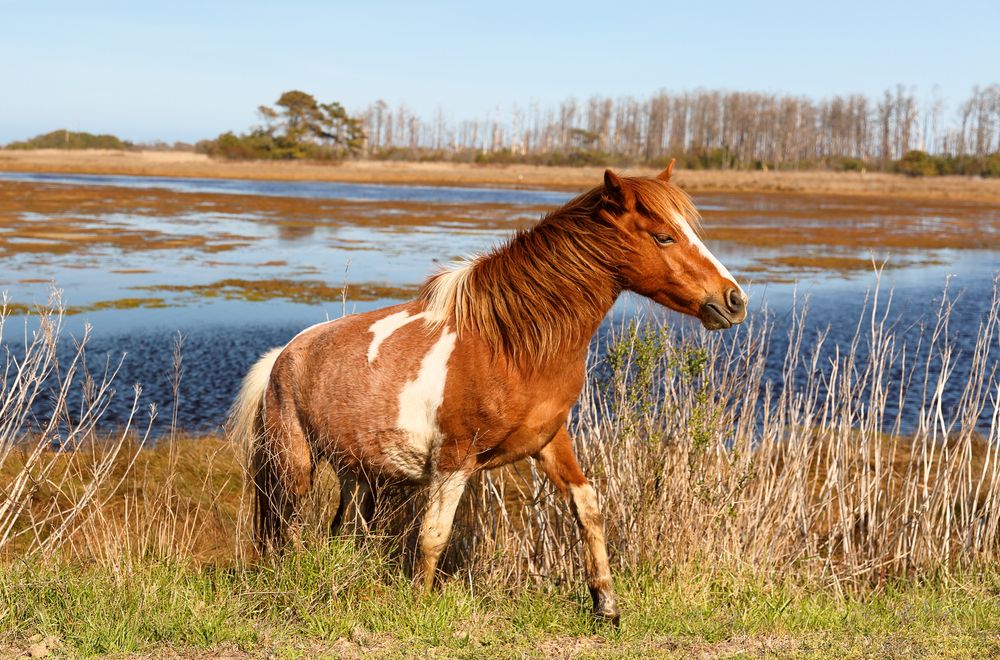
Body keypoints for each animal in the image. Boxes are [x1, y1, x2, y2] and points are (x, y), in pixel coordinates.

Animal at [228, 162, 747, 624]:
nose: (734, 299)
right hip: (293, 465)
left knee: (340, 530)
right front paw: (418, 606)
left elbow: (588, 506)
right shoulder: (453, 461)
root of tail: (281, 356)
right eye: (664, 236)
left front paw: (607, 605)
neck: (511, 345)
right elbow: (434, 536)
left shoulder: (549, 442)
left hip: (358, 473)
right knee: (288, 528)